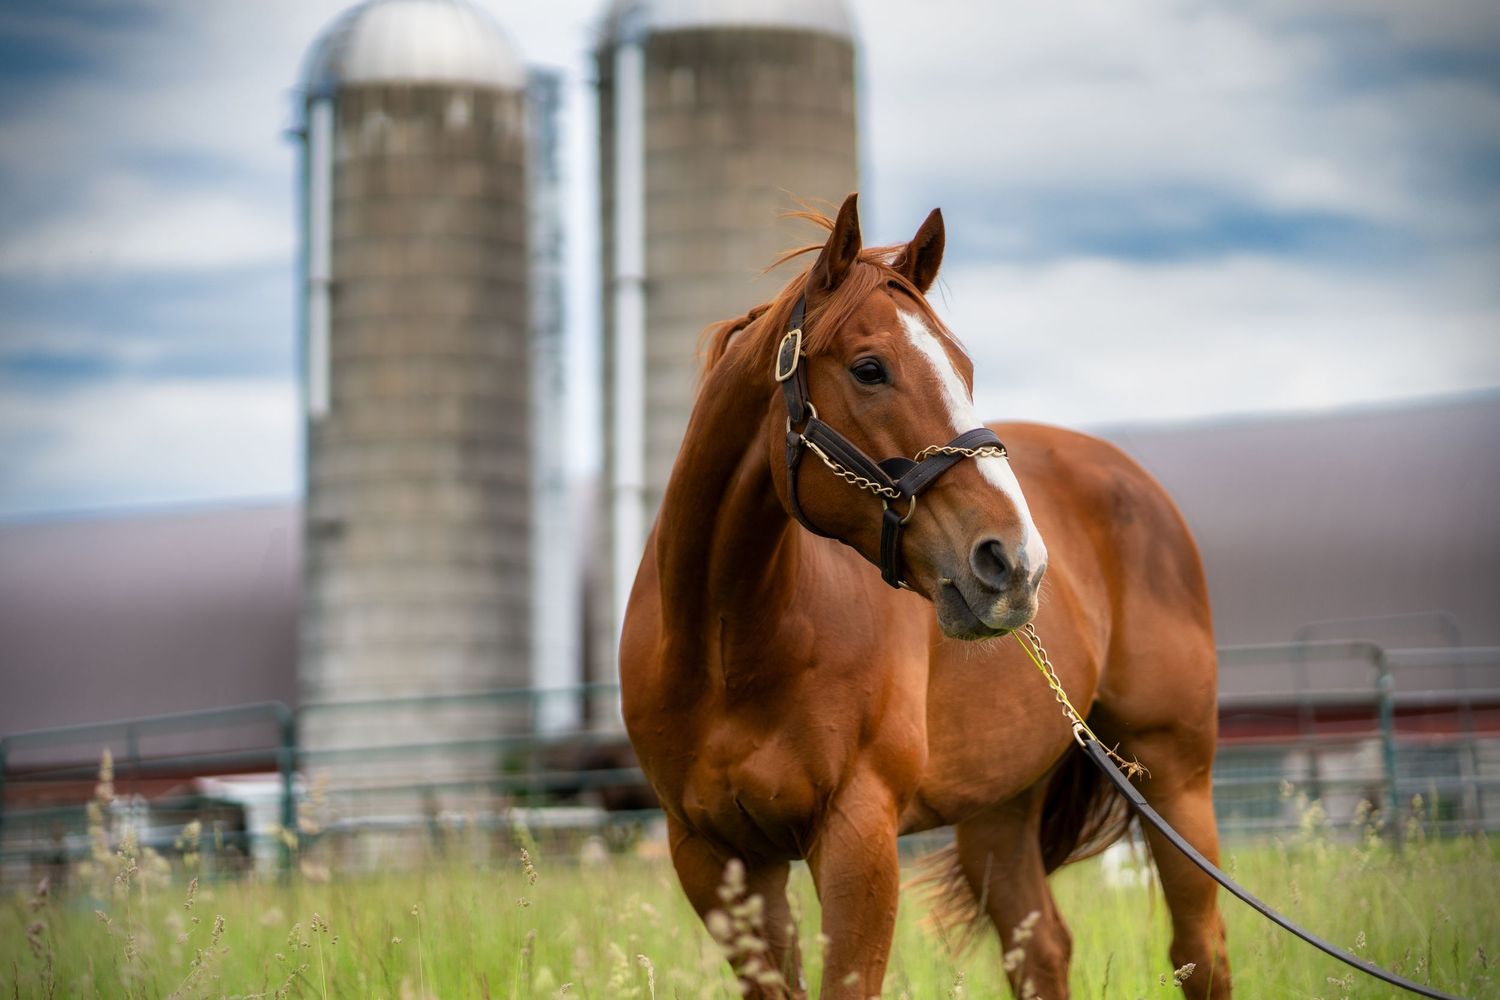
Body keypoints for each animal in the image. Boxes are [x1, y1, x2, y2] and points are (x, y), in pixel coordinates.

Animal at [619, 193, 1229, 999]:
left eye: (964, 367)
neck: (728, 645)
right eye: (869, 368)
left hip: (1177, 778)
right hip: (999, 810)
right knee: (1042, 949)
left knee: (1201, 953)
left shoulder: (858, 839)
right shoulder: (714, 856)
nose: (1016, 564)